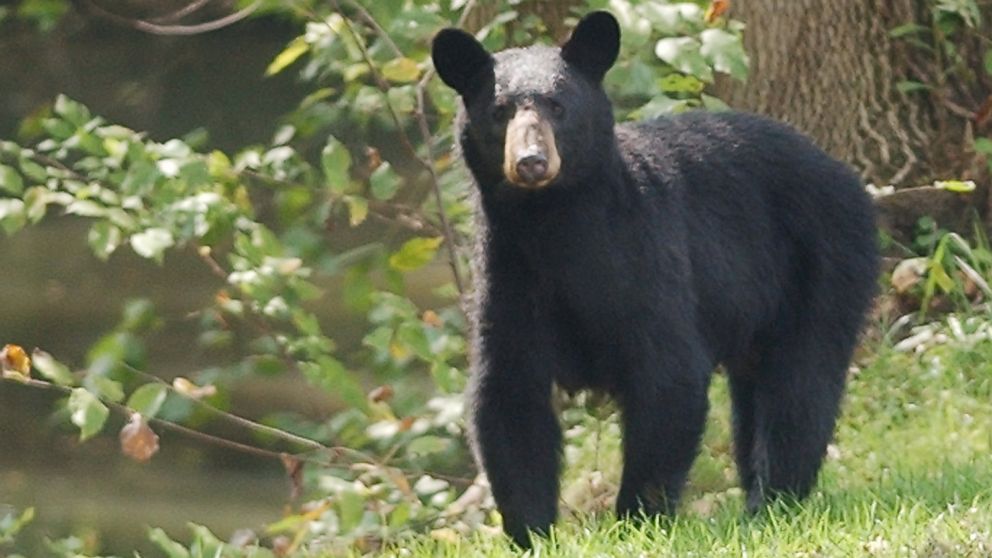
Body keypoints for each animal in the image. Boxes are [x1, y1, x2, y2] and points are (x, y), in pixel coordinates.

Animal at [432, 9, 876, 552]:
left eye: (558, 106)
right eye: (499, 111)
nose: (531, 161)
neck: (553, 224)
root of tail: (844, 172)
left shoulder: (643, 260)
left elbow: (668, 376)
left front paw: (636, 520)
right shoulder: (509, 276)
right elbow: (509, 399)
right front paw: (531, 533)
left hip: (823, 260)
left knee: (801, 382)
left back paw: (770, 501)